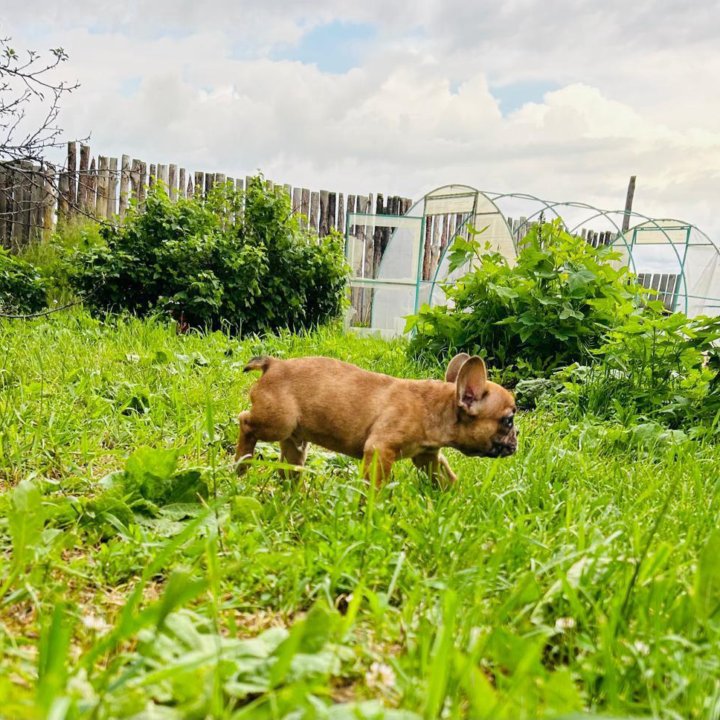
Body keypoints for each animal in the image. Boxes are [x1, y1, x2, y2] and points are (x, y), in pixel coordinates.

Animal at [236, 352, 516, 486]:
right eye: (508, 421)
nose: (518, 437)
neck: (438, 407)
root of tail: (274, 364)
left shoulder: (426, 456)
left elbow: (443, 474)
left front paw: (453, 494)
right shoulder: (381, 450)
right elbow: (375, 485)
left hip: (294, 439)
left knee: (290, 465)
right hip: (277, 422)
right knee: (246, 422)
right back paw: (241, 465)